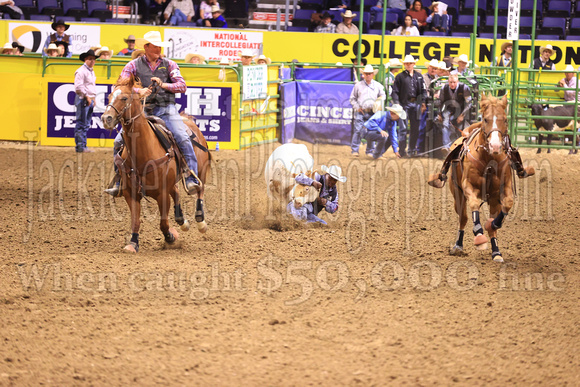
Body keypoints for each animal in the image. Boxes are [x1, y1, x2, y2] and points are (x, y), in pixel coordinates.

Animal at [101, 76, 211, 253]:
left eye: (124, 98)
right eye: (109, 96)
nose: (106, 119)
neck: (143, 151)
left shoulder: (162, 194)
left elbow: (163, 222)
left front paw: (170, 237)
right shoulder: (130, 193)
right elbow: (136, 221)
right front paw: (133, 243)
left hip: (200, 170)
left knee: (199, 188)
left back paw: (200, 220)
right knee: (177, 191)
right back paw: (182, 221)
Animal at [446, 94, 524, 264]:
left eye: (505, 120)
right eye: (486, 119)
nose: (495, 146)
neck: (489, 160)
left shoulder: (501, 190)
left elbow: (507, 204)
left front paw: (492, 225)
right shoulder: (468, 186)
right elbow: (474, 205)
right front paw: (479, 235)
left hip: (493, 200)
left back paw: (496, 252)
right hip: (457, 193)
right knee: (463, 218)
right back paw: (458, 245)